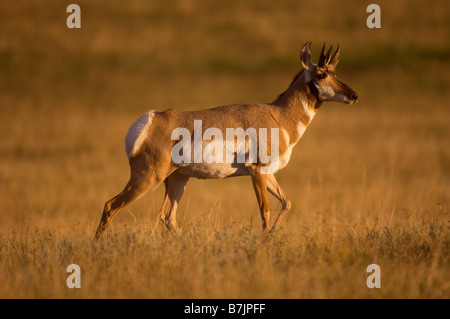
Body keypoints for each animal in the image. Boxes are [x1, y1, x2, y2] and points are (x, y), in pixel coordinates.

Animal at [95, 42, 358, 240]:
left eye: (335, 73)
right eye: (321, 74)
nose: (354, 95)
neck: (278, 115)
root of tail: (153, 119)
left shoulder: (268, 173)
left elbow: (287, 202)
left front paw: (272, 238)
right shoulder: (257, 171)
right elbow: (265, 209)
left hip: (177, 179)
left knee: (168, 217)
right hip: (148, 178)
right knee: (110, 206)